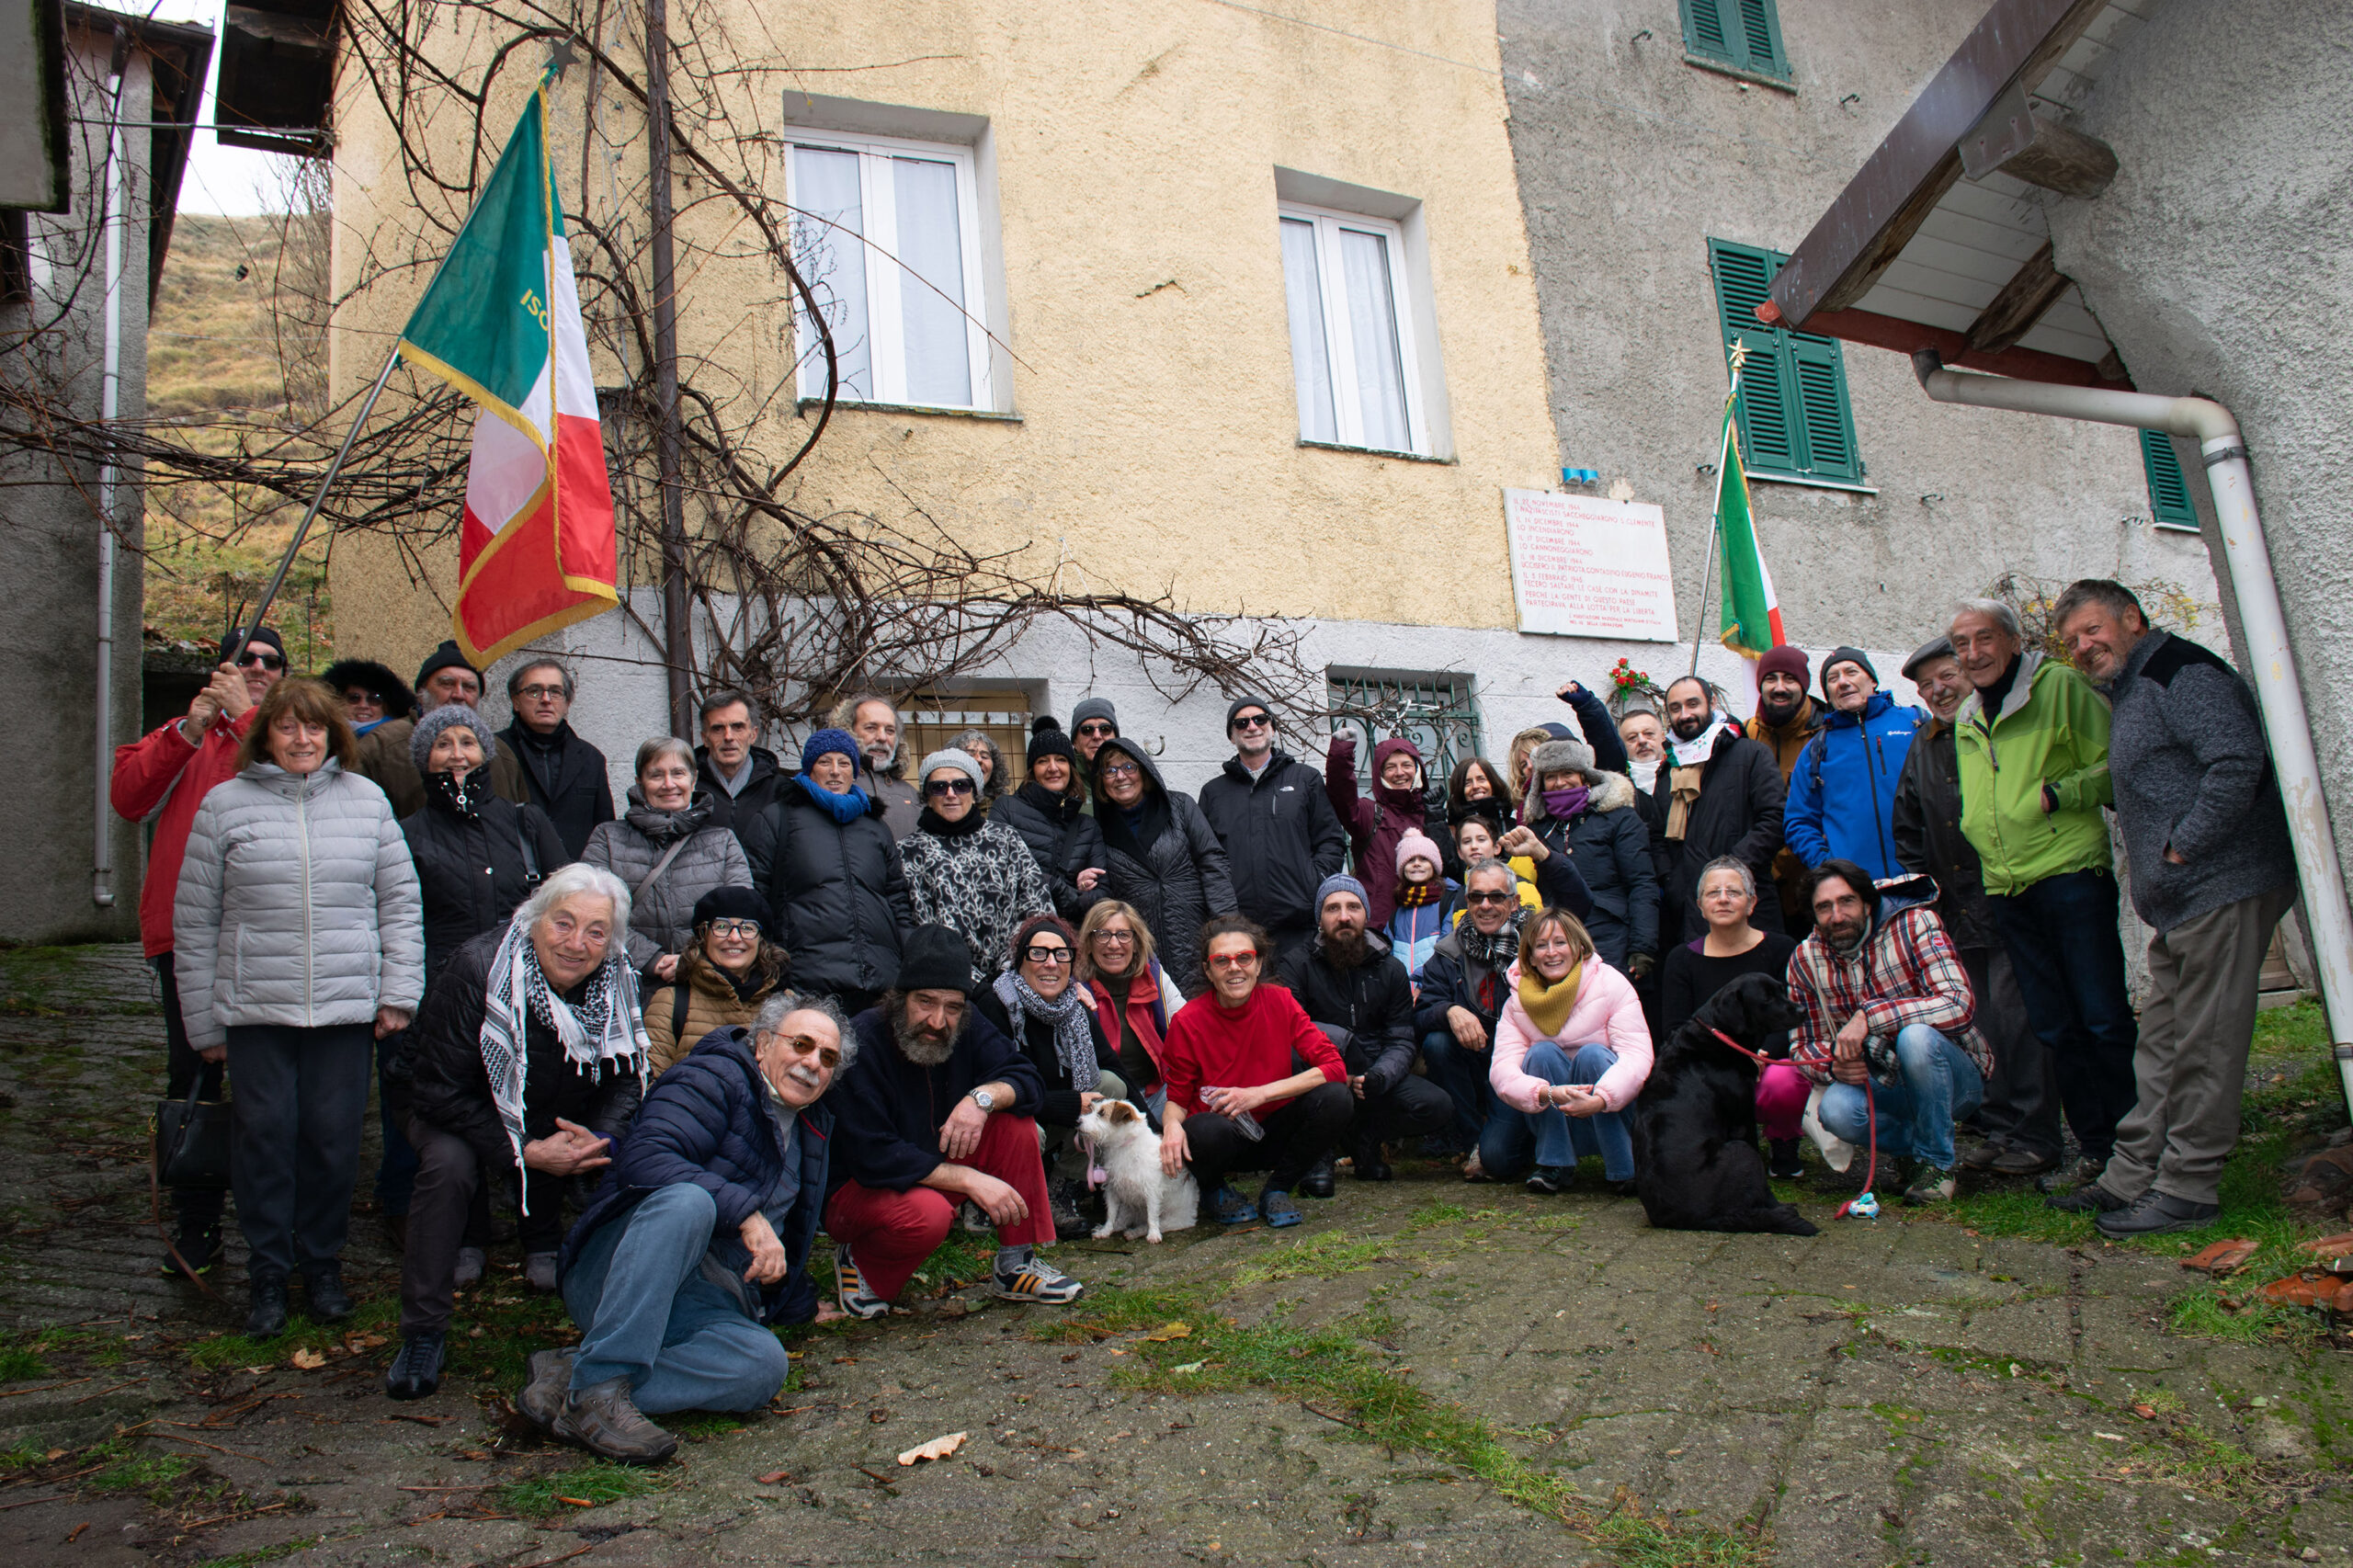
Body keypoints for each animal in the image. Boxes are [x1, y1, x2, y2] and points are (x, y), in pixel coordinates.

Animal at [1077, 1092, 1195, 1243]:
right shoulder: (1112, 1190)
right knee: (1121, 1220)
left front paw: (1153, 1235)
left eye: (1102, 1113)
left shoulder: (1152, 1192)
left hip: (1171, 1220)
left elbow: (1152, 1217)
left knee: (1150, 1224)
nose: (1078, 1121)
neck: (1124, 1147)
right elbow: (1111, 1215)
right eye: (1091, 1109)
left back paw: (1136, 1232)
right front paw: (1105, 1231)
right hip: (1128, 1207)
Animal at [1637, 965, 1816, 1233]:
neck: (1721, 1034)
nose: (1802, 1010)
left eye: (1780, 989)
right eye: (1766, 999)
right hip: (1741, 1150)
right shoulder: (1743, 1118)